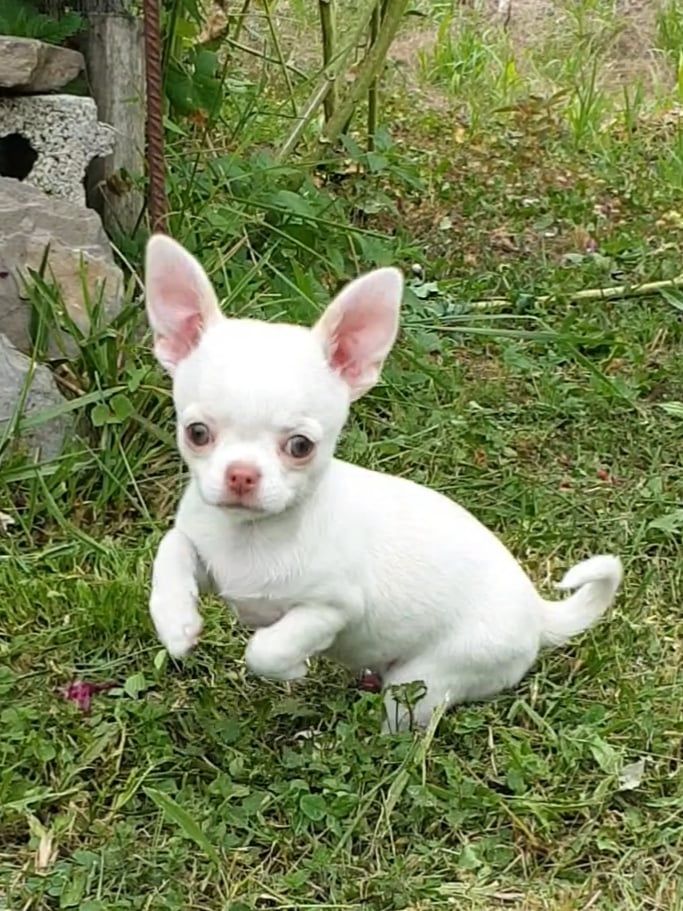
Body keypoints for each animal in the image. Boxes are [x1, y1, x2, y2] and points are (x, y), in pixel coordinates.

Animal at [147, 237, 624, 732]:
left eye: (300, 446)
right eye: (197, 433)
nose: (241, 474)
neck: (252, 536)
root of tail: (537, 613)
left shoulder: (333, 609)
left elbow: (268, 648)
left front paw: (291, 668)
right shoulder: (202, 549)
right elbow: (172, 548)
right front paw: (175, 622)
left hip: (430, 678)